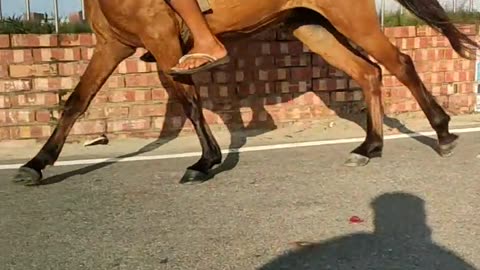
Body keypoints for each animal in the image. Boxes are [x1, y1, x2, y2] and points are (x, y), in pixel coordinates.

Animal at [13, 0, 478, 186]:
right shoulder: (112, 45)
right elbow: (76, 102)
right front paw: (36, 165)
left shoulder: (162, 42)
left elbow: (190, 103)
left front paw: (204, 163)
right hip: (311, 25)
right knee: (368, 73)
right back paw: (369, 147)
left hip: (351, 19)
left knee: (400, 64)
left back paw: (442, 134)